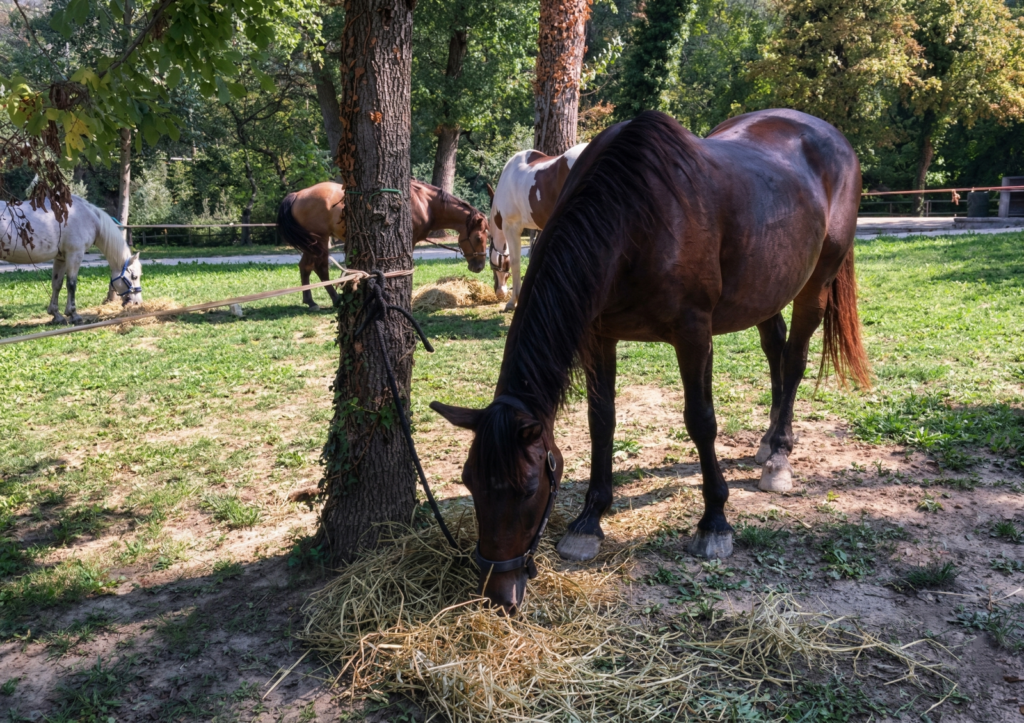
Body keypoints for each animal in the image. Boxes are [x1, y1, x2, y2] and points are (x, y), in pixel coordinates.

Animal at [0, 196, 142, 325]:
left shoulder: (61, 259)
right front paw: (73, 314)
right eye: (134, 276)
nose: (137, 302)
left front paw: (56, 315)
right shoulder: (75, 254)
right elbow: (71, 284)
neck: (89, 218)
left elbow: (57, 284)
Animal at [277, 179, 489, 309]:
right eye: (479, 238)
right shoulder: (409, 242)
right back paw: (330, 300)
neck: (425, 203)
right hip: (319, 240)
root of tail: (298, 194)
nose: (479, 266)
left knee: (305, 267)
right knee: (319, 268)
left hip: (313, 243)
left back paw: (312, 300)